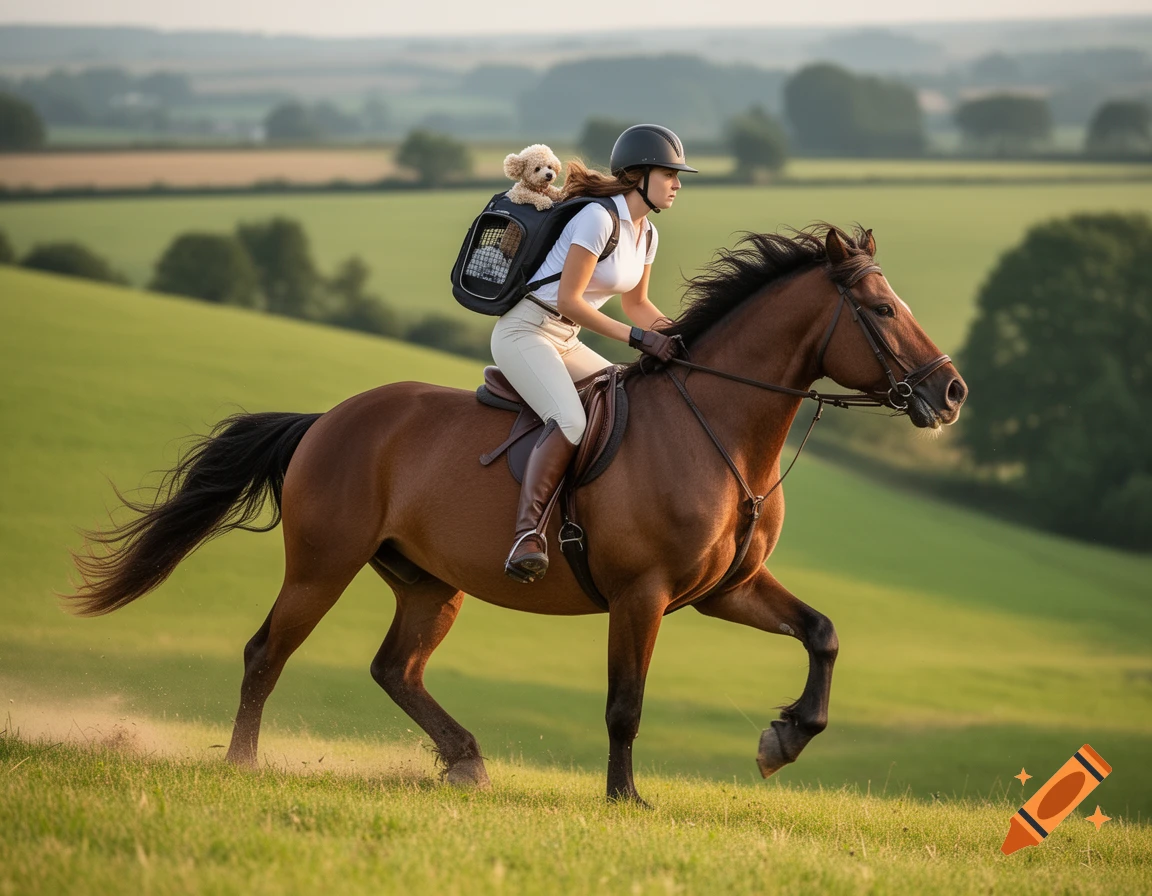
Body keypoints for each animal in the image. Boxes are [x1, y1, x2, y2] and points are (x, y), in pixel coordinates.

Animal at [69, 225, 967, 805]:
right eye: (881, 311)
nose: (951, 392)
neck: (720, 431)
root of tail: (327, 419)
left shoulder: (726, 590)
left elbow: (823, 633)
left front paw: (784, 738)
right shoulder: (642, 595)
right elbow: (625, 702)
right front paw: (625, 798)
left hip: (429, 583)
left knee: (395, 668)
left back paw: (465, 761)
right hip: (323, 564)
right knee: (267, 651)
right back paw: (243, 763)